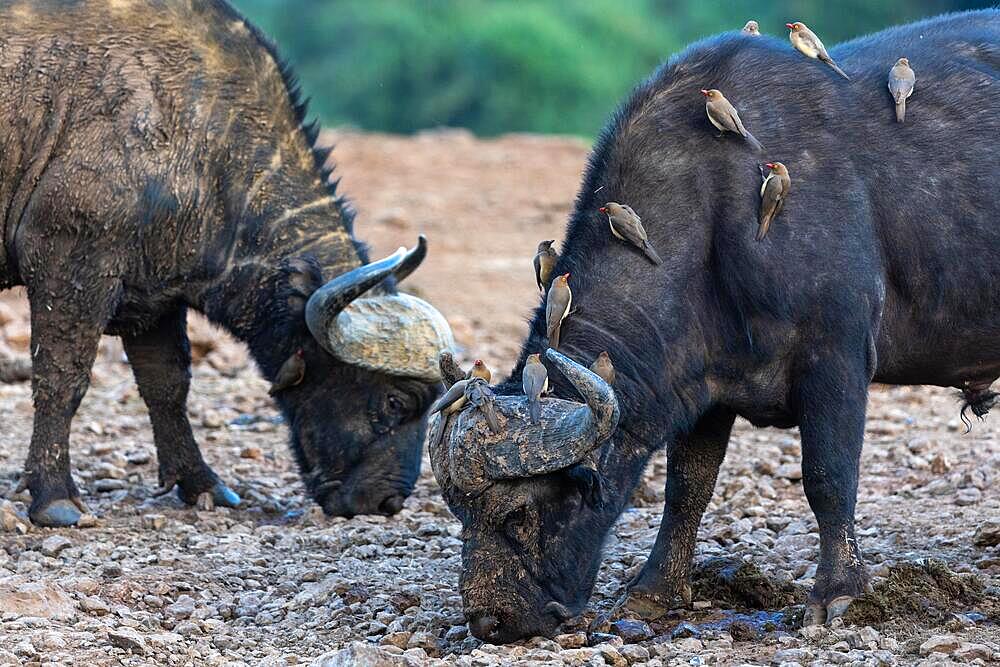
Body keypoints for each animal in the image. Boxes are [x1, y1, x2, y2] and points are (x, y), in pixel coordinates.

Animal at [0, 0, 454, 528]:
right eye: (396, 400)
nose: (387, 503)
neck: (199, 139)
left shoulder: (154, 298)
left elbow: (168, 387)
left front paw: (203, 484)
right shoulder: (71, 266)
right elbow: (63, 379)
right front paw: (54, 496)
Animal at [432, 10, 1000, 644]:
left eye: (519, 514)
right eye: (460, 513)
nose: (490, 620)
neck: (713, 211)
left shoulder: (837, 358)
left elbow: (828, 478)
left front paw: (839, 593)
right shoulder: (703, 382)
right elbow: (687, 488)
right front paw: (654, 591)